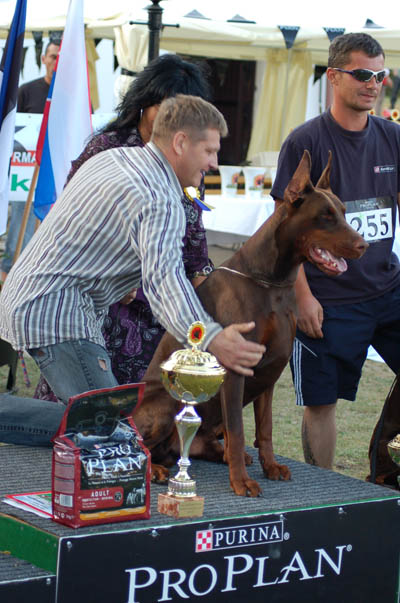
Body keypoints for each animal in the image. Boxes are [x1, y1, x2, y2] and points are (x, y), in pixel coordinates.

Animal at [133, 150, 368, 497]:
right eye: (325, 216)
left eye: (341, 211)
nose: (364, 245)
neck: (273, 282)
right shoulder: (236, 368)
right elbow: (240, 429)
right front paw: (241, 481)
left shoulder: (270, 370)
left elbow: (264, 429)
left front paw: (270, 466)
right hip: (165, 401)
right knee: (139, 446)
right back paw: (160, 469)